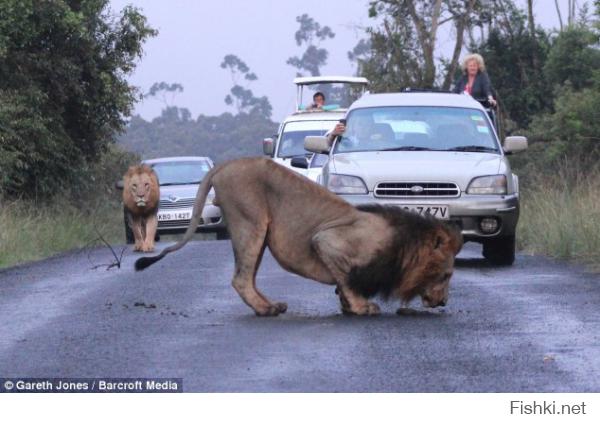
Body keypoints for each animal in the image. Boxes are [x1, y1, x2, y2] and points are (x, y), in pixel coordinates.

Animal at [137, 157, 464, 316]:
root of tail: (224, 165)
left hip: (259, 231)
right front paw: (361, 307)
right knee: (240, 278)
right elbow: (348, 280)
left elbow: (343, 285)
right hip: (251, 220)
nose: (444, 303)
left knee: (248, 277)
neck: (404, 246)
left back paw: (271, 305)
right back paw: (265, 310)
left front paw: (348, 306)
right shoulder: (327, 241)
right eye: (447, 275)